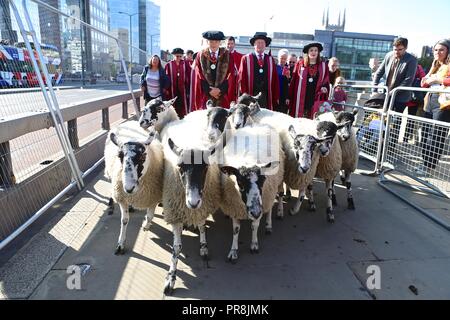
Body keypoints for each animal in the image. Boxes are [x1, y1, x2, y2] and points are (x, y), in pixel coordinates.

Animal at [103, 120, 163, 255]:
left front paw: (145, 225)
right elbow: (124, 221)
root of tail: (129, 121)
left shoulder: (154, 198)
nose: (128, 188)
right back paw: (111, 204)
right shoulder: (122, 198)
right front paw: (120, 244)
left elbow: (150, 216)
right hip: (110, 174)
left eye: (142, 157)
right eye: (120, 156)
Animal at [160, 118, 227, 296]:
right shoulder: (175, 213)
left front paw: (204, 248)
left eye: (205, 167)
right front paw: (171, 278)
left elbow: (202, 226)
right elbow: (176, 248)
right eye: (180, 167)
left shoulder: (203, 206)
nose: (193, 201)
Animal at [218, 124, 284, 262]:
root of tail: (258, 124)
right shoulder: (235, 206)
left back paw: (269, 225)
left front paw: (254, 245)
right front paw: (233, 251)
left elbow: (255, 226)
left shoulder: (262, 201)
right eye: (240, 183)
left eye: (263, 181)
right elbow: (236, 230)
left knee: (270, 207)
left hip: (272, 188)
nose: (255, 212)